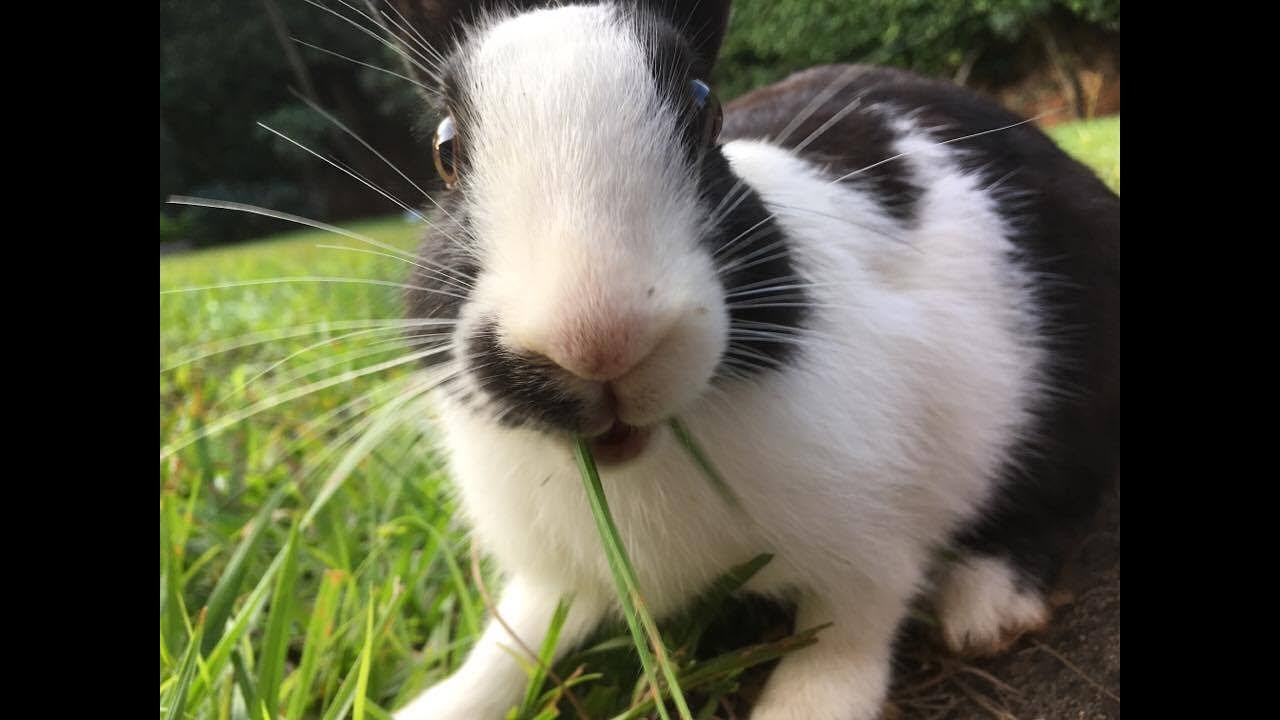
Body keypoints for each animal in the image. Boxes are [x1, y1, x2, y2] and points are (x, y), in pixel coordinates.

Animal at [388, 1, 1120, 718]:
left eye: (705, 112)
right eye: (446, 151)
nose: (596, 338)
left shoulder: (870, 551)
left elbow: (843, 643)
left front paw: (804, 703)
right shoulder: (556, 578)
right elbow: (514, 644)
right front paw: (436, 705)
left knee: (1061, 497)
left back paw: (985, 606)